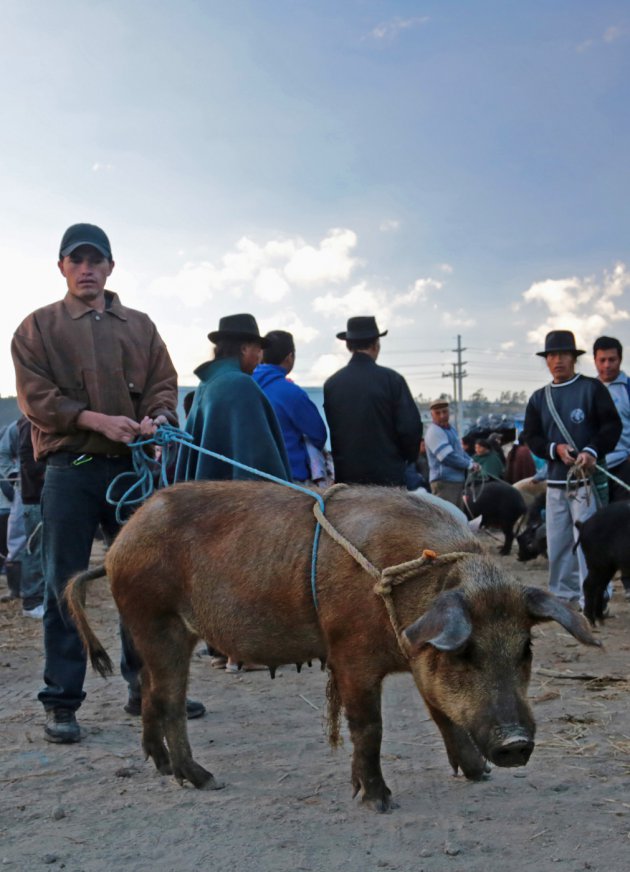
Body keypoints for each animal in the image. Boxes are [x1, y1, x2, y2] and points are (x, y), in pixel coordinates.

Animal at [66, 476, 600, 812]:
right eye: (465, 651)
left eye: (526, 650)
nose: (515, 744)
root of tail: (117, 547)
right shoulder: (350, 653)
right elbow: (369, 727)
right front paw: (379, 801)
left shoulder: (418, 660)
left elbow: (442, 714)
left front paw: (477, 775)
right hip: (159, 622)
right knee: (171, 702)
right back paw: (203, 779)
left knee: (151, 696)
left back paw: (159, 768)